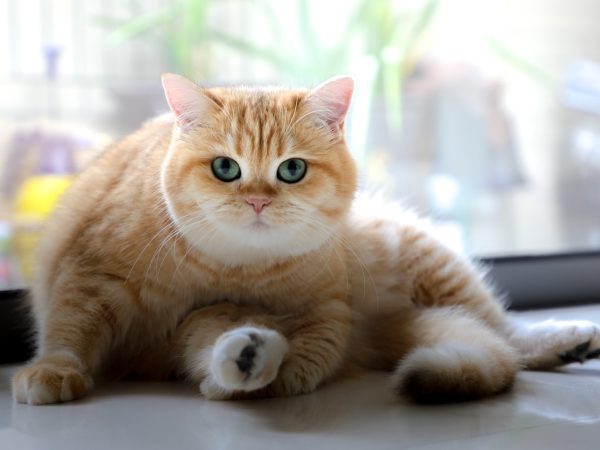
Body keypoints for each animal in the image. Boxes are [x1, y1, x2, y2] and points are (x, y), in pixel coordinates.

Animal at [11, 73, 600, 404]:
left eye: (291, 170)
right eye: (225, 168)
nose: (257, 199)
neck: (230, 267)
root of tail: (383, 330)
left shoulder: (327, 307)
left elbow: (314, 351)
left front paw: (284, 373)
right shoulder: (90, 277)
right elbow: (68, 328)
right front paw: (52, 372)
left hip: (427, 258)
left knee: (504, 335)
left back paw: (569, 338)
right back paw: (246, 358)